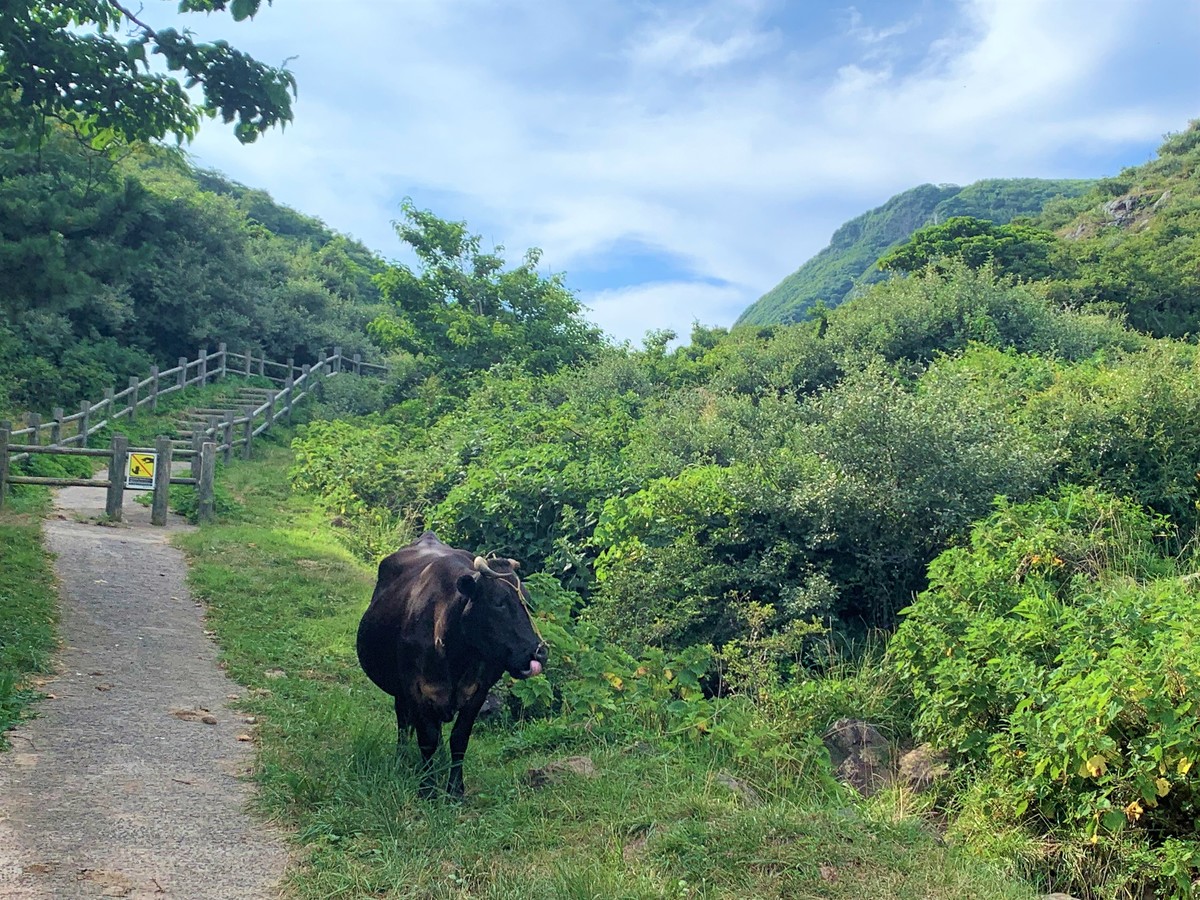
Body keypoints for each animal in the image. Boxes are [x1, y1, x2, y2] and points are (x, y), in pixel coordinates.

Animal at [352, 532, 547, 801]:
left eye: (527, 603)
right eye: (498, 602)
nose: (539, 652)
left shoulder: (478, 692)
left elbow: (459, 739)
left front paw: (455, 789)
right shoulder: (416, 689)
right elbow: (427, 738)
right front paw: (427, 788)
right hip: (401, 690)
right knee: (403, 721)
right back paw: (402, 758)